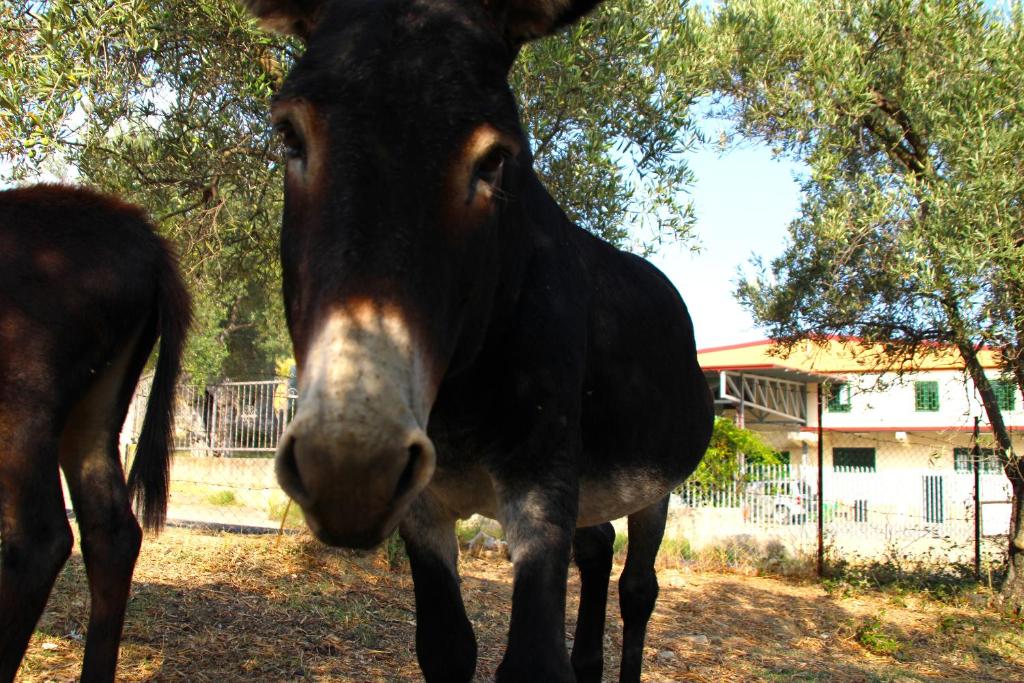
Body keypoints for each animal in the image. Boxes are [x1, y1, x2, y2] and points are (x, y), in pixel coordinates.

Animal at [242, 0, 713, 680]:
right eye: (289, 136)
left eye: (493, 159)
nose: (350, 464)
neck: (460, 397)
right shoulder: (423, 510)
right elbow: (446, 647)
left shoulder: (541, 488)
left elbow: (534, 660)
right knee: (598, 549)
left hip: (656, 487)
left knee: (638, 588)